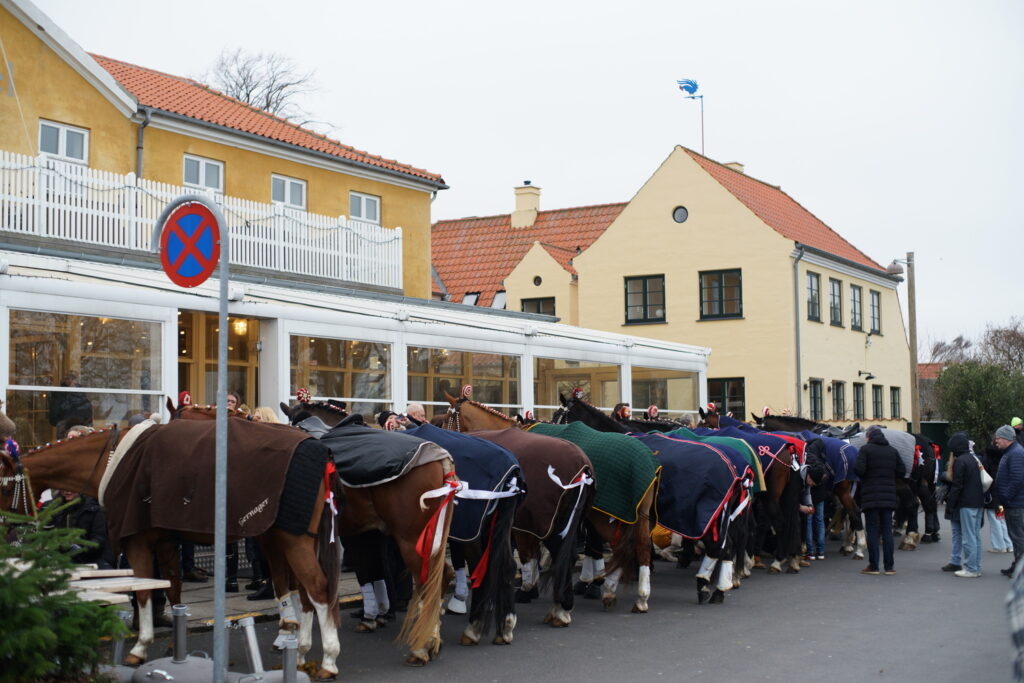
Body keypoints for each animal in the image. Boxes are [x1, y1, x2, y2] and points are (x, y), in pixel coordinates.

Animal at [0, 423, 344, 679]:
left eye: (4, 486)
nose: (6, 530)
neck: (114, 458)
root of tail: (319, 448)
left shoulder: (137, 541)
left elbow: (143, 592)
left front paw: (140, 647)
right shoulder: (166, 540)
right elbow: (172, 586)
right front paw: (173, 644)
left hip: (292, 539)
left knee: (317, 589)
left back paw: (328, 660)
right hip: (288, 538)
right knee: (304, 594)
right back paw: (300, 653)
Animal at [280, 397, 456, 663]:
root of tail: (438, 457)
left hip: (411, 540)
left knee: (426, 582)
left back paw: (422, 646)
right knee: (441, 577)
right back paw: (432, 636)